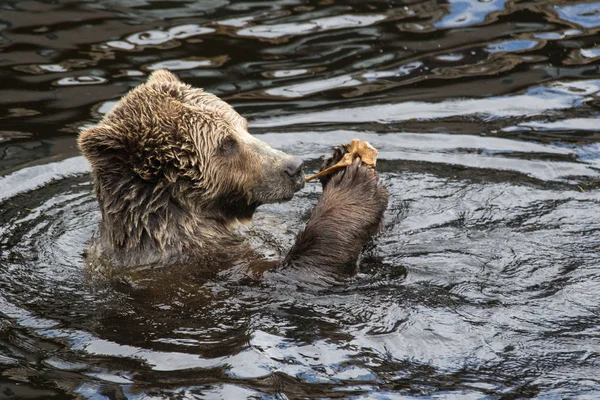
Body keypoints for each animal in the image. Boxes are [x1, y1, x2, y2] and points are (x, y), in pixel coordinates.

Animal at [78, 69, 390, 282]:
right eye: (226, 144)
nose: (294, 166)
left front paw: (337, 161)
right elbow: (299, 273)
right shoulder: (207, 266)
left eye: (244, 125)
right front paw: (353, 186)